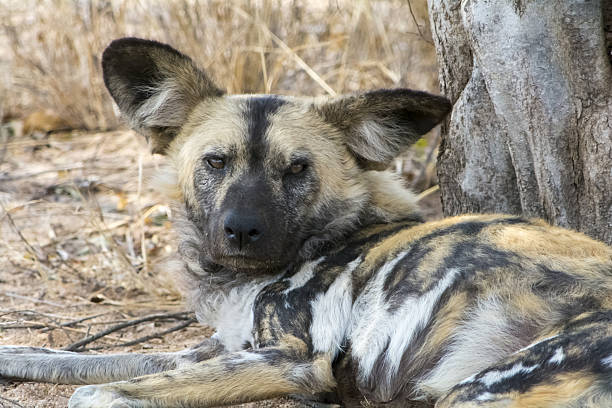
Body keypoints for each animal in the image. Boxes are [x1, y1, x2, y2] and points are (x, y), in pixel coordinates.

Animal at [1, 37, 612, 404]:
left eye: (296, 169)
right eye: (215, 162)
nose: (241, 230)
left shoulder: (293, 361)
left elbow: (102, 391)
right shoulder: (215, 348)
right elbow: (70, 361)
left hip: (477, 390)